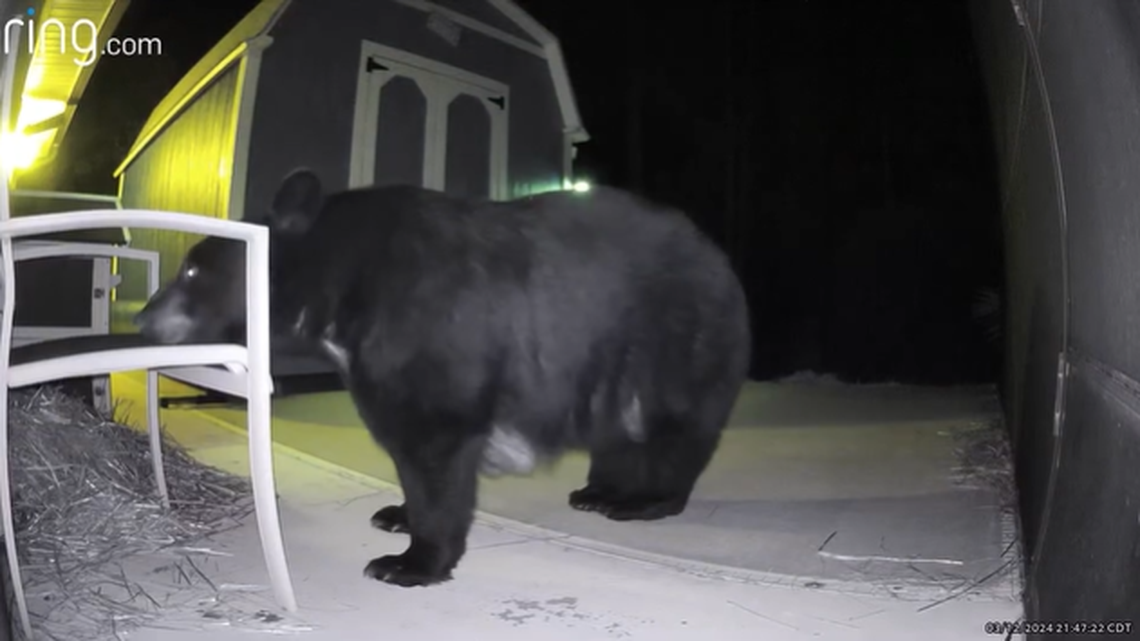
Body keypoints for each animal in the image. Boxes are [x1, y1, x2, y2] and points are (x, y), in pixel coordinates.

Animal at [134, 169, 752, 588]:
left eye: (192, 270)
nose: (142, 316)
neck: (342, 281)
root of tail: (720, 258)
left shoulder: (427, 326)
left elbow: (433, 442)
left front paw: (410, 561)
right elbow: (404, 448)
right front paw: (396, 514)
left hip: (672, 336)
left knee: (674, 429)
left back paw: (642, 500)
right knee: (619, 429)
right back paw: (598, 491)